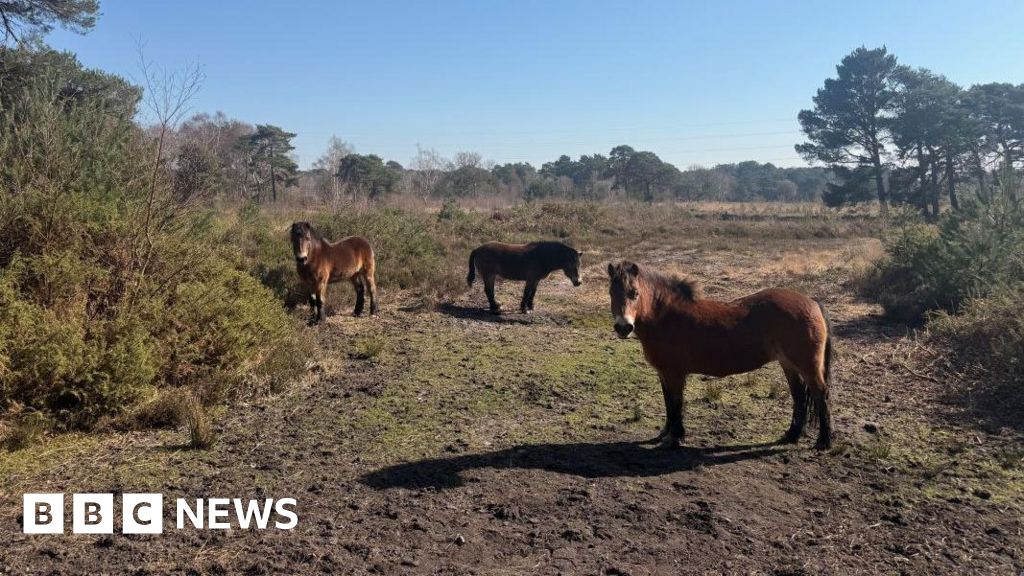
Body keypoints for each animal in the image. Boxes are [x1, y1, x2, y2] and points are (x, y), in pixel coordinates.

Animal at [607, 261, 834, 450]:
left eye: (634, 293)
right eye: (611, 293)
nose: (623, 327)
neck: (665, 317)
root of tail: (813, 302)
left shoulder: (674, 374)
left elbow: (676, 403)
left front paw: (674, 437)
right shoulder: (664, 374)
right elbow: (668, 402)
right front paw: (666, 433)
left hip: (808, 367)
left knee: (820, 394)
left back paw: (823, 442)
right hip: (789, 365)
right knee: (799, 396)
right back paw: (791, 435)